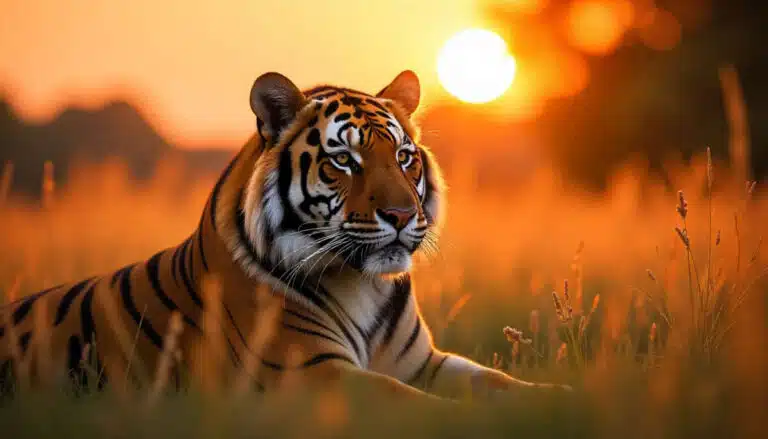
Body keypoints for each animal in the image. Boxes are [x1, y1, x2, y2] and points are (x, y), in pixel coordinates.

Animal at [0, 70, 569, 401]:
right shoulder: (310, 371)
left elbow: (494, 382)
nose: (402, 214)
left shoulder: (422, 363)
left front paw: (559, 396)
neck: (364, 284)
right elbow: (416, 405)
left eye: (404, 157)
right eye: (345, 160)